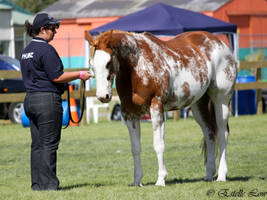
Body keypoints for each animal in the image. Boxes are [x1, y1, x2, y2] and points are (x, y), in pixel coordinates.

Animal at [86, 30, 237, 187]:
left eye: (108, 62)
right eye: (92, 65)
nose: (103, 96)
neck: (137, 67)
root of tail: (219, 42)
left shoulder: (156, 108)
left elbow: (158, 145)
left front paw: (161, 179)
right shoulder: (129, 113)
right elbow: (135, 147)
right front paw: (137, 181)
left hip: (221, 100)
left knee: (222, 134)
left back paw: (221, 175)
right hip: (198, 105)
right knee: (210, 134)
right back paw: (208, 175)